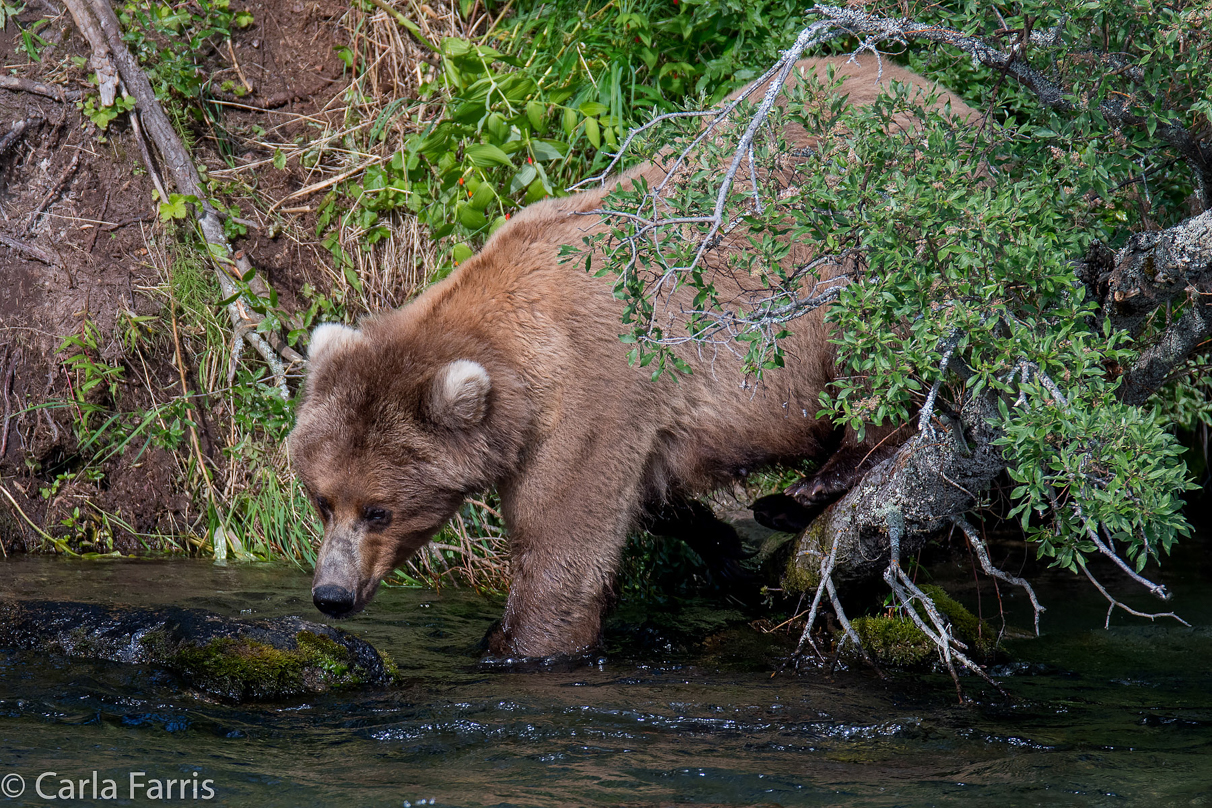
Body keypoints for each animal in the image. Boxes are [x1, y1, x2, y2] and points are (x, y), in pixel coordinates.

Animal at [288, 59, 979, 658]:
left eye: (379, 510)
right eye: (323, 500)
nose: (331, 594)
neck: (522, 363)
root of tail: (963, 105)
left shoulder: (588, 394)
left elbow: (562, 545)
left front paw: (515, 642)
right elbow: (653, 494)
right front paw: (721, 545)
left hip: (877, 240)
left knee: (881, 355)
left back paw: (812, 485)